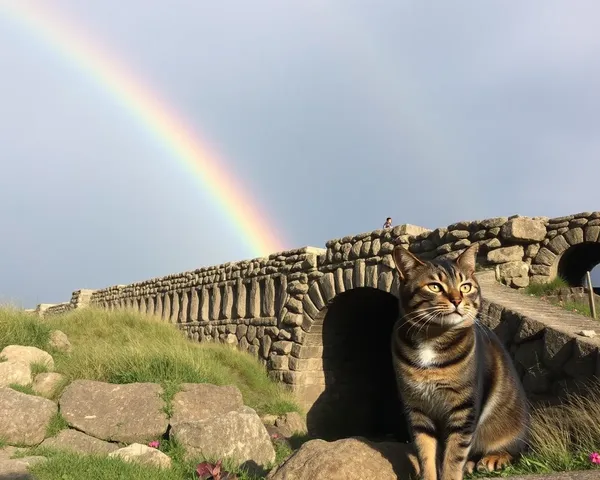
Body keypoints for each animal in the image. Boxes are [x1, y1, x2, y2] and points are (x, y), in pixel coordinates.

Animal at [394, 244, 528, 480]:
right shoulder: (416, 409)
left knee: (516, 451)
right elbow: (425, 454)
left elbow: (454, 456)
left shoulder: (464, 409)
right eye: (434, 287)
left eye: (465, 286)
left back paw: (493, 458)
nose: (457, 300)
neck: (432, 339)